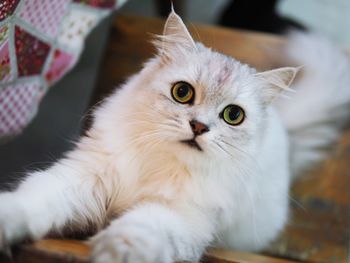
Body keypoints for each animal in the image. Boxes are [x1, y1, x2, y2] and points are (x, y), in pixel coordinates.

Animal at [0, 10, 350, 263]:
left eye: (233, 116)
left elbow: (138, 230)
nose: (199, 127)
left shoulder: (181, 215)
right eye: (182, 93)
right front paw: (8, 224)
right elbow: (33, 200)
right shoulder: (86, 176)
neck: (160, 163)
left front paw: (118, 253)